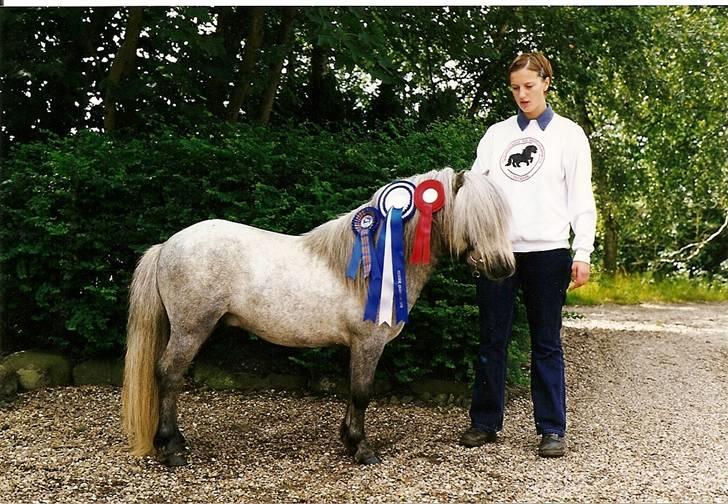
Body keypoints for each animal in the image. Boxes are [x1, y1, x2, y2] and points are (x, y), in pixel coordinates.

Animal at [122, 167, 516, 466]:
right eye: (475, 220)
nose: (504, 268)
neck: (375, 264)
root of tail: (167, 246)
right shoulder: (368, 343)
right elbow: (362, 392)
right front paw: (362, 449)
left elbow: (353, 390)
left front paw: (348, 439)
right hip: (190, 329)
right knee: (169, 375)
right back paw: (171, 449)